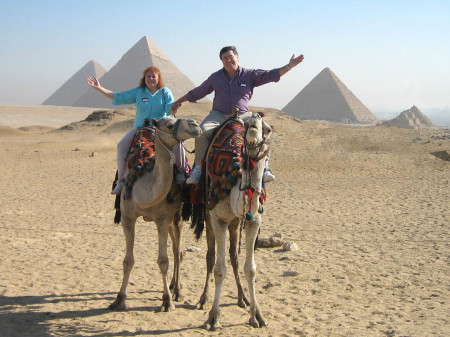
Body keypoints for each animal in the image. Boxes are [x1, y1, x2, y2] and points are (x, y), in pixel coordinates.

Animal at [108, 115, 201, 312]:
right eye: (169, 125)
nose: (196, 125)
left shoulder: (162, 218)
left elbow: (163, 261)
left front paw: (167, 301)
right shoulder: (127, 217)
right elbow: (128, 261)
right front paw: (119, 299)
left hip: (177, 215)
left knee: (177, 250)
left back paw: (177, 291)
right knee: (176, 248)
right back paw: (173, 286)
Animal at [196, 113, 270, 328]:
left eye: (268, 129)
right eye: (247, 125)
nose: (254, 121)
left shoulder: (254, 221)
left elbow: (250, 269)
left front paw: (257, 315)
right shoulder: (218, 219)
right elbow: (219, 269)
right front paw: (213, 317)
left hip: (236, 223)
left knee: (234, 256)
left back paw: (242, 298)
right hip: (208, 215)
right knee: (210, 256)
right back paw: (203, 299)